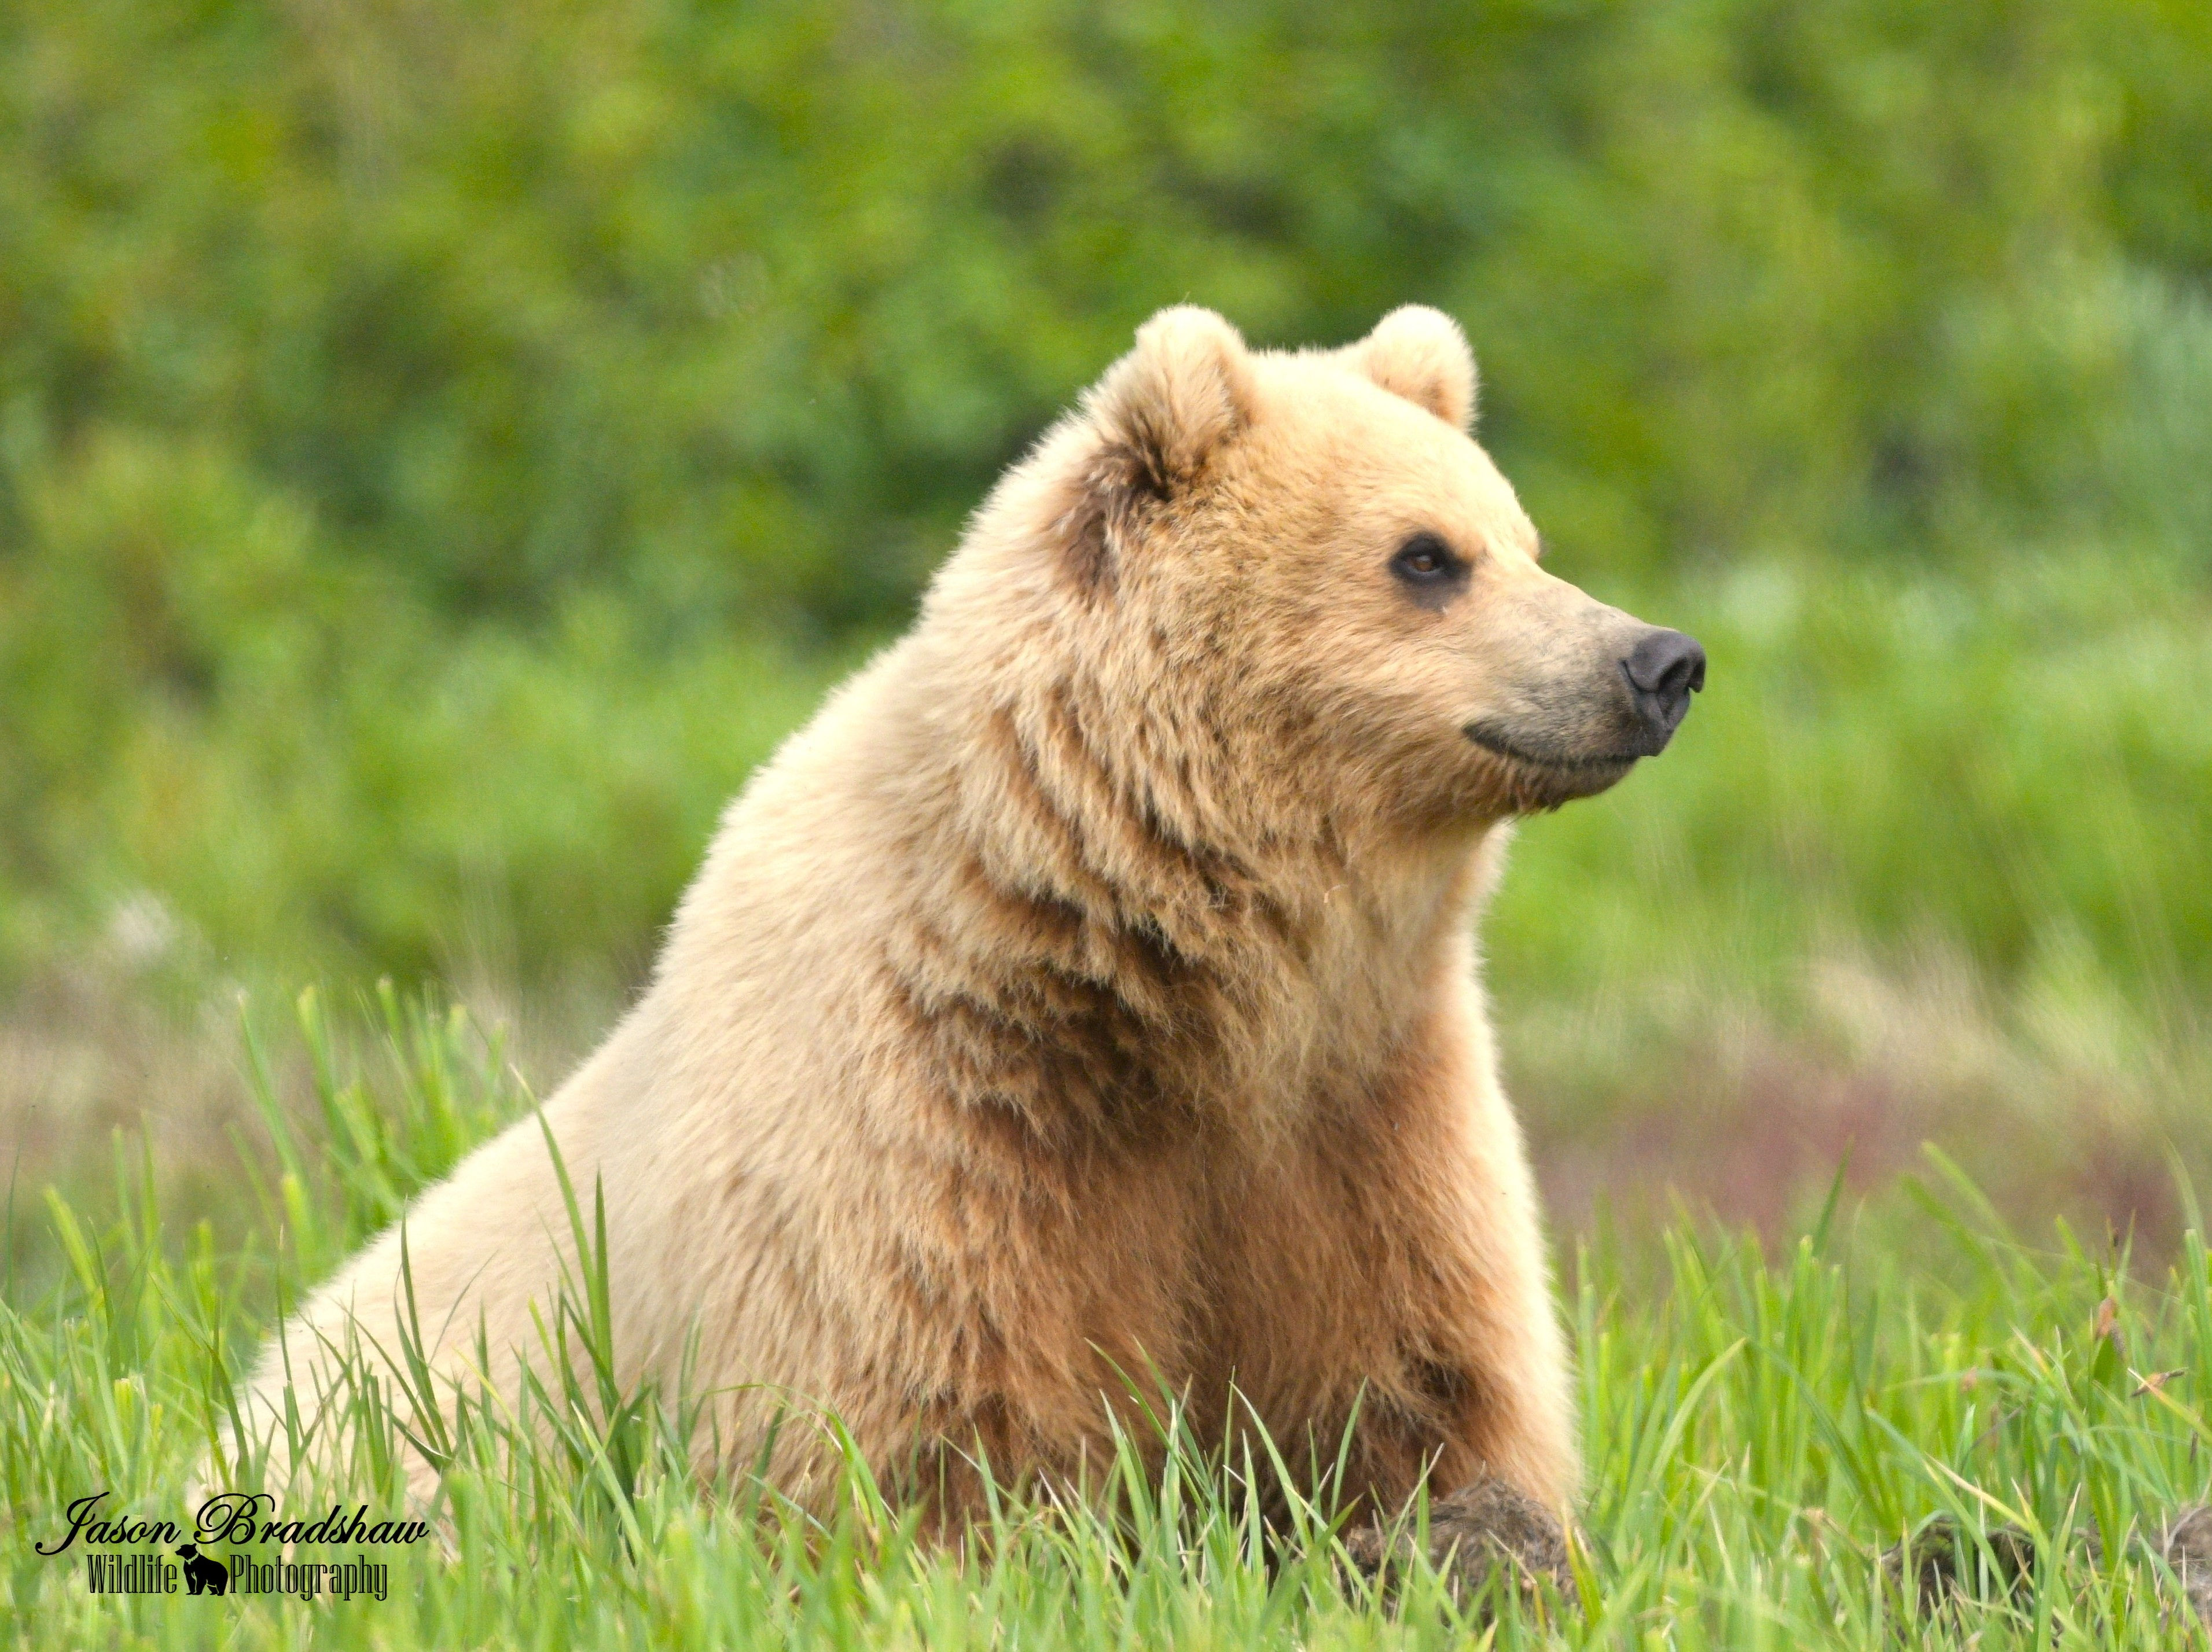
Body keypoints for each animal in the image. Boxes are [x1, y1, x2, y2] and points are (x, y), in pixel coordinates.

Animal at [227, 305, 1703, 1585]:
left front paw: (1470, 1544)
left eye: (1525, 537)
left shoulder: (1366, 1107)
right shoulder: (934, 1117)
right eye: (1425, 555)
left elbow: (1423, 1382)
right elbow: (928, 1428)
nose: (1658, 660)